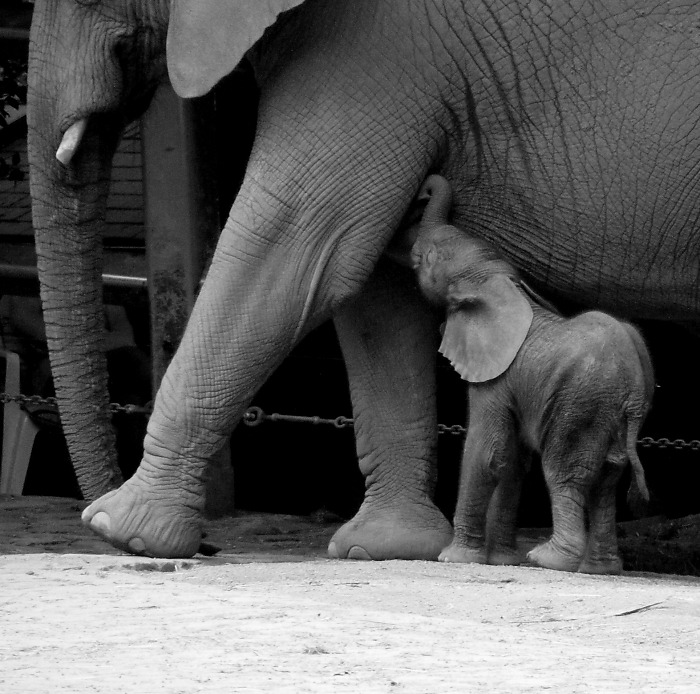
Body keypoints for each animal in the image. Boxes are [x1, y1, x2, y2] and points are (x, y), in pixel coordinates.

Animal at [396, 175, 652, 576]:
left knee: (565, 472)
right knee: (606, 481)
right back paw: (600, 569)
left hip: (581, 402)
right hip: (610, 411)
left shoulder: (494, 378)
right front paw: (503, 561)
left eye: (427, 258)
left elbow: (486, 451)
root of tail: (637, 387)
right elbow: (513, 461)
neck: (497, 283)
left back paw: (548, 560)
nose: (423, 190)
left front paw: (453, 558)